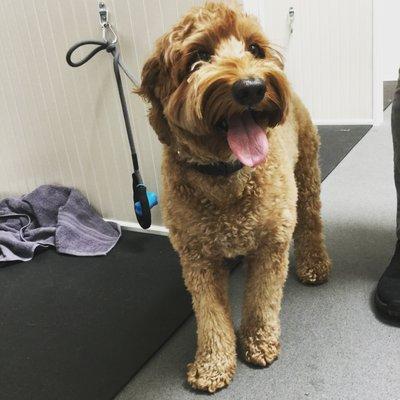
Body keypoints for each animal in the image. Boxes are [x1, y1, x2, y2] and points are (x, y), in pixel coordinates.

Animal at [138, 0, 332, 394]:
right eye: (199, 56)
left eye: (254, 49)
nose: (251, 87)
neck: (226, 174)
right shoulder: (196, 257)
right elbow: (210, 315)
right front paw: (212, 364)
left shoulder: (271, 244)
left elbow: (261, 298)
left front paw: (258, 341)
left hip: (306, 172)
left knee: (311, 220)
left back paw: (314, 263)